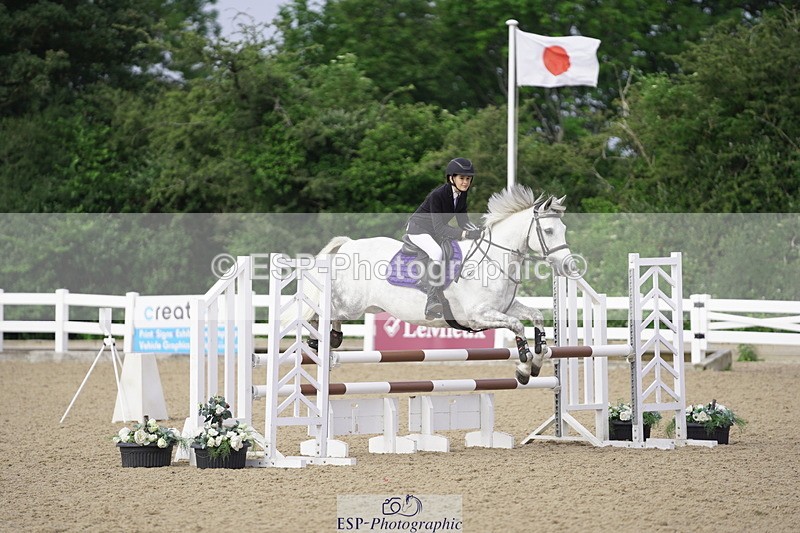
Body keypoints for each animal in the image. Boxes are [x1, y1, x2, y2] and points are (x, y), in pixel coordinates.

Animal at [298, 185, 578, 384]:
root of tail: (348, 244)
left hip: (366, 306)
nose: (569, 267)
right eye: (549, 231)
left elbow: (536, 316)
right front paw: (522, 367)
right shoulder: (478, 316)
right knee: (322, 313)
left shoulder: (503, 309)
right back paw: (319, 342)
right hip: (351, 303)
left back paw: (331, 340)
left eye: (564, 229)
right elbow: (518, 326)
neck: (494, 258)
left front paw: (537, 361)